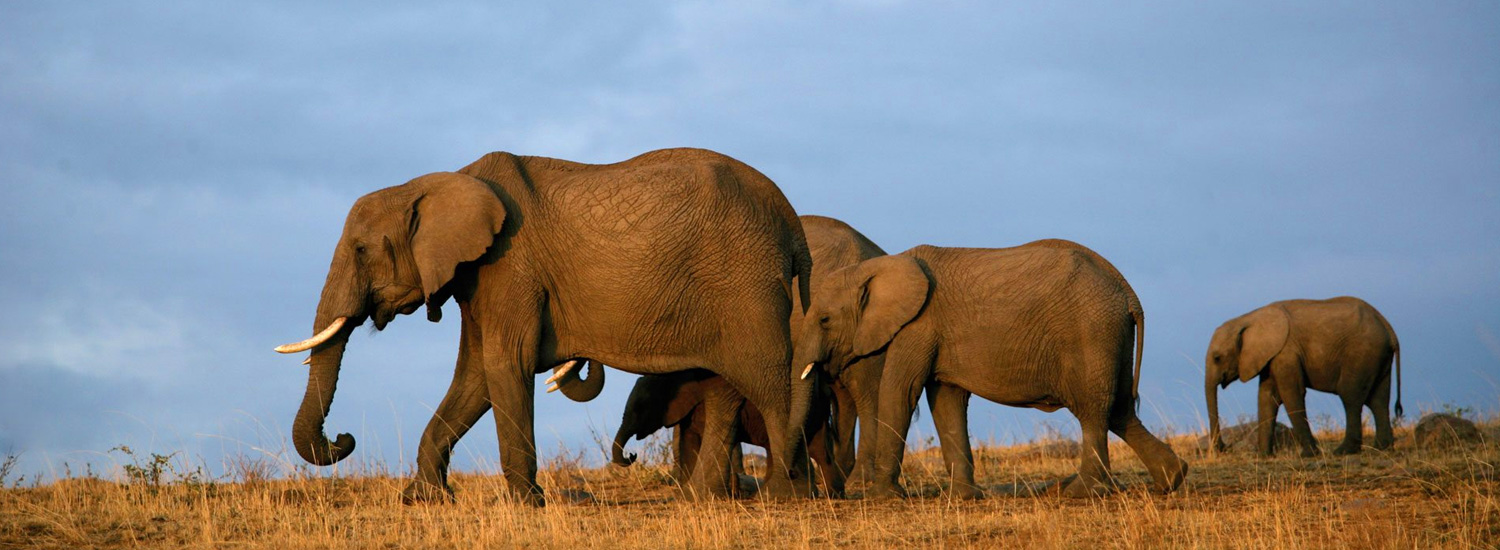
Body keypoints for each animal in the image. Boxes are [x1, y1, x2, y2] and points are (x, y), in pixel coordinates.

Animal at [268, 148, 810, 506]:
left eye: (361, 250)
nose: (343, 439)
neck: (436, 182)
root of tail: (790, 220)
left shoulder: (510, 265)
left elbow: (504, 363)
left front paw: (525, 503)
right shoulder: (479, 276)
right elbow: (474, 376)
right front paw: (422, 498)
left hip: (746, 282)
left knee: (768, 382)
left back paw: (783, 496)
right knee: (724, 389)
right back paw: (708, 499)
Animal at [792, 241, 1188, 500]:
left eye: (824, 319)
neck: (883, 265)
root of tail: (1129, 293)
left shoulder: (918, 325)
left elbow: (900, 391)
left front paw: (882, 498)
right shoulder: (934, 334)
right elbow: (946, 401)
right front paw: (963, 498)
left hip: (1092, 333)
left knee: (1094, 411)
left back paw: (1080, 493)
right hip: (1111, 337)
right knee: (1120, 409)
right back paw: (1170, 480)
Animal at [1200, 299, 1398, 458]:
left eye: (1217, 358)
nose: (1224, 447)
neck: (1249, 318)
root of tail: (1389, 328)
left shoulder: (1286, 353)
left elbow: (1291, 394)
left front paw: (1309, 454)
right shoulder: (1270, 356)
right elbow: (1266, 397)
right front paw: (1263, 457)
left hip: (1362, 353)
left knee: (1350, 396)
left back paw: (1344, 451)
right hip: (1378, 356)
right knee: (1378, 399)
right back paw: (1382, 448)